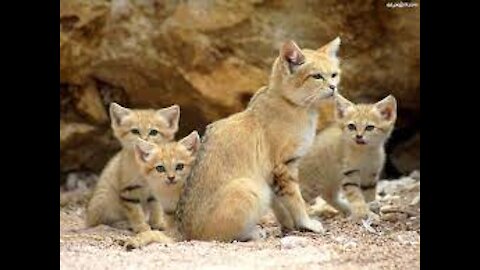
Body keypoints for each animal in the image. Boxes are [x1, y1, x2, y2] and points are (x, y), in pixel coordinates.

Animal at [85, 102, 181, 233]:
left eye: (153, 132)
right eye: (135, 131)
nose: (143, 140)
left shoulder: (155, 190)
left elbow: (156, 208)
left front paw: (157, 223)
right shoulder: (128, 192)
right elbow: (136, 212)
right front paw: (141, 227)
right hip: (104, 200)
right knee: (101, 223)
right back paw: (123, 224)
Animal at [176, 36, 342, 240]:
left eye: (334, 74)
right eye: (317, 76)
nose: (334, 87)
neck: (293, 105)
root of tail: (185, 233)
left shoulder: (273, 175)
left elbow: (279, 204)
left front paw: (289, 226)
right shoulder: (283, 167)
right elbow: (296, 200)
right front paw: (307, 223)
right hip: (249, 188)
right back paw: (253, 233)